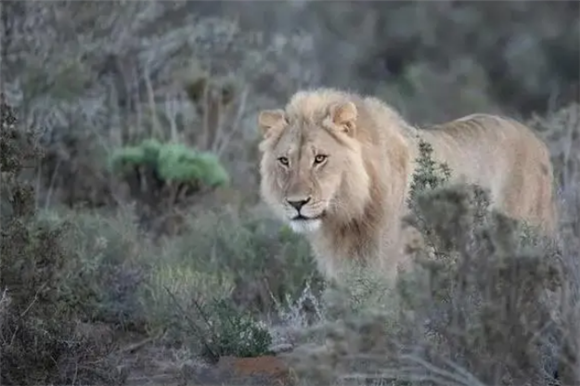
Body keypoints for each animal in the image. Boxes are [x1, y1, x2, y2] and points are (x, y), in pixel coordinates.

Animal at [256, 86, 556, 280]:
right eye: (284, 161)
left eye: (319, 158)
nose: (296, 203)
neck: (347, 219)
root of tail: (537, 139)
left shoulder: (395, 270)